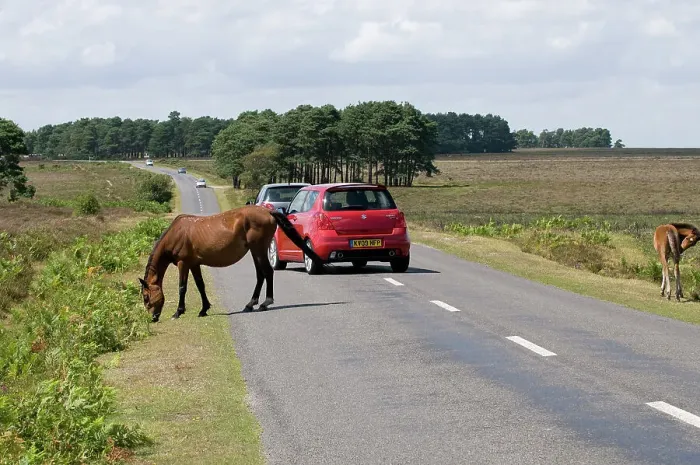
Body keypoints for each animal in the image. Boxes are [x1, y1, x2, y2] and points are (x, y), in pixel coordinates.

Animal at [138, 205, 324, 322]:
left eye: (146, 297)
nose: (153, 318)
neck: (177, 232)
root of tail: (268, 211)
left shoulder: (183, 263)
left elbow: (182, 287)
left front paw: (178, 312)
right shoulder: (194, 264)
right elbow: (200, 285)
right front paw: (204, 309)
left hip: (258, 248)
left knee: (267, 272)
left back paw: (265, 303)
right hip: (255, 250)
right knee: (260, 274)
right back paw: (250, 304)